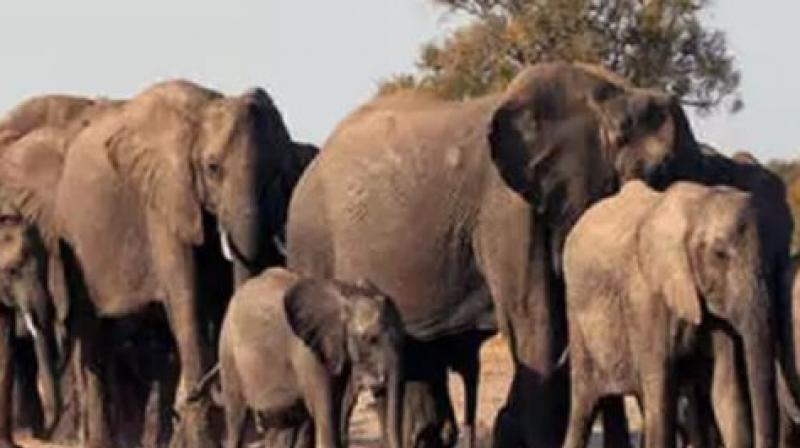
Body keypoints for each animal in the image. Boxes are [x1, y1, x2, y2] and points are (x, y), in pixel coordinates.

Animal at [195, 267, 405, 448]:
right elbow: (325, 413)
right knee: (236, 420)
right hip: (228, 352)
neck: (346, 292)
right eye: (369, 339)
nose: (377, 382)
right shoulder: (307, 352)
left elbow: (338, 407)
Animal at [562, 180, 778, 448]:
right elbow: (661, 389)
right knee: (584, 405)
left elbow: (726, 390)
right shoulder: (646, 298)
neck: (698, 204)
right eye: (719, 254)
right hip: (577, 316)